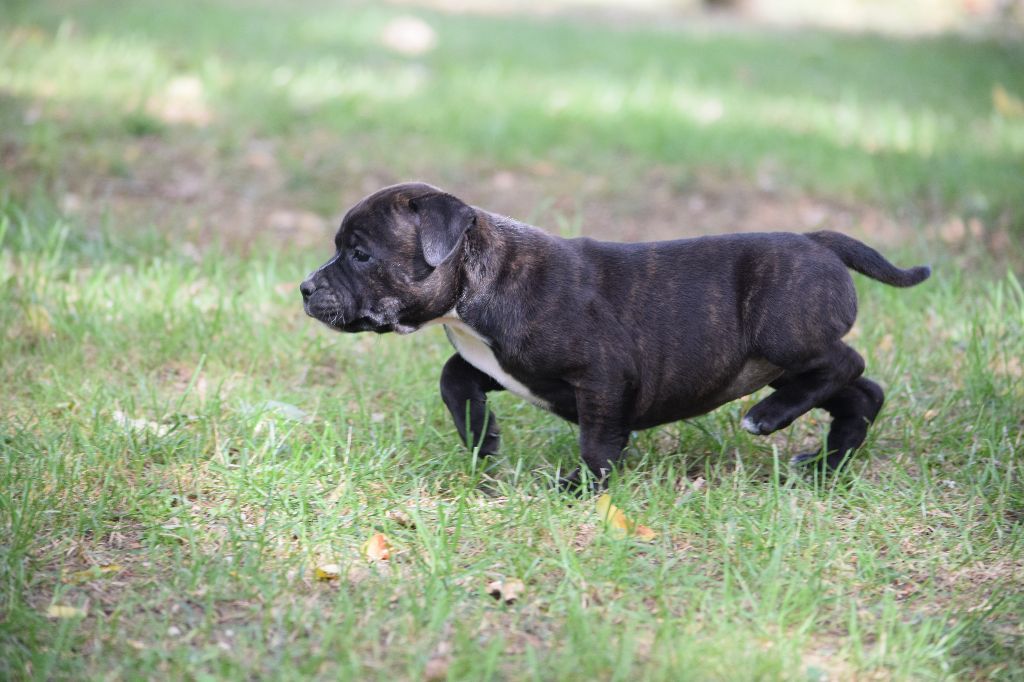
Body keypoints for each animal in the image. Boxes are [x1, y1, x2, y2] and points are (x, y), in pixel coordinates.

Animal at [301, 182, 930, 488]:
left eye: (360, 254)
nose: (305, 288)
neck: (477, 282)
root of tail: (817, 241)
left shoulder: (602, 377)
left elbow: (598, 440)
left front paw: (581, 488)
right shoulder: (509, 367)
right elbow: (453, 376)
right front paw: (482, 439)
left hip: (784, 335)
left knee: (846, 362)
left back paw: (768, 418)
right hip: (784, 361)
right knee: (860, 393)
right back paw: (825, 466)